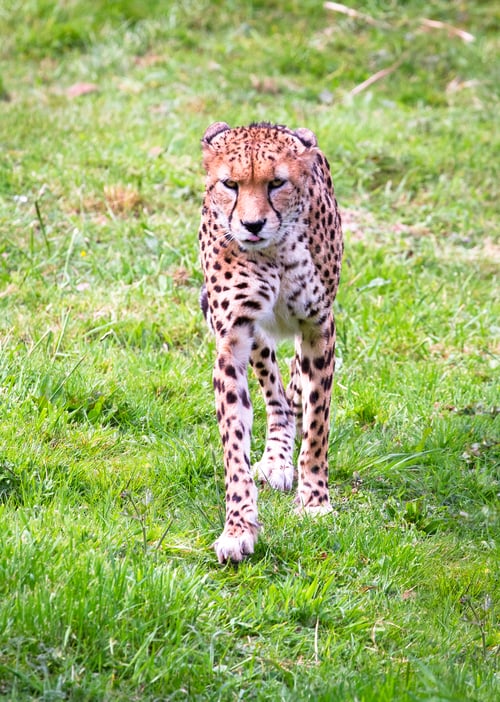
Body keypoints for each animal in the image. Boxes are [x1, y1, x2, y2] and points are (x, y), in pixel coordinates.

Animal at [198, 121, 343, 563]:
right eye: (230, 184)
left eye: (276, 183)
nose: (253, 225)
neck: (274, 252)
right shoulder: (232, 337)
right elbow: (234, 443)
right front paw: (239, 527)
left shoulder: (318, 327)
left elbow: (317, 426)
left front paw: (314, 502)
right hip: (257, 336)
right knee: (277, 397)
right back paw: (277, 457)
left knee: (295, 389)